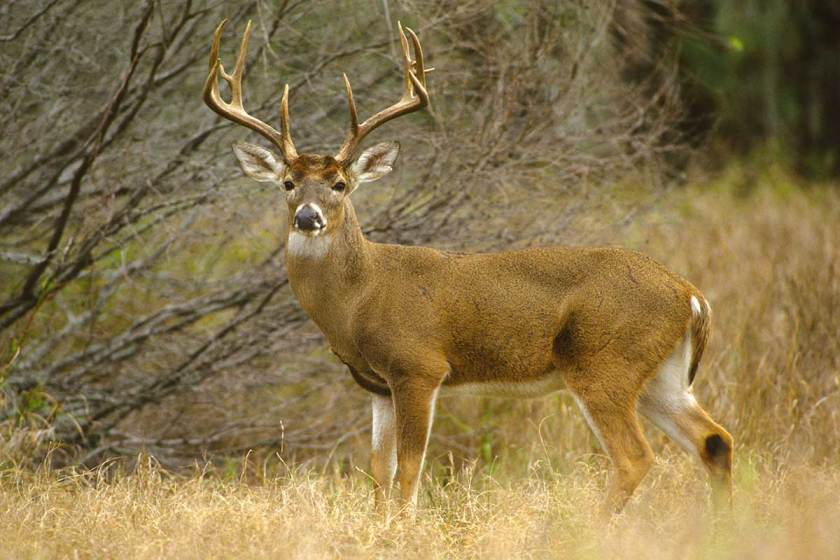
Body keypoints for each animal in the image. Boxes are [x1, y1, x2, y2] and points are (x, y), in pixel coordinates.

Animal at [203, 19, 733, 516]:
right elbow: (378, 470)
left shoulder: (419, 366)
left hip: (604, 361)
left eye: (339, 184)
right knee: (714, 440)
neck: (360, 297)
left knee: (635, 456)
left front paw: (403, 529)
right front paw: (380, 526)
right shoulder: (376, 384)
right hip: (661, 375)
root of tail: (691, 295)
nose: (307, 217)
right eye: (288, 183)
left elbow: (410, 469)